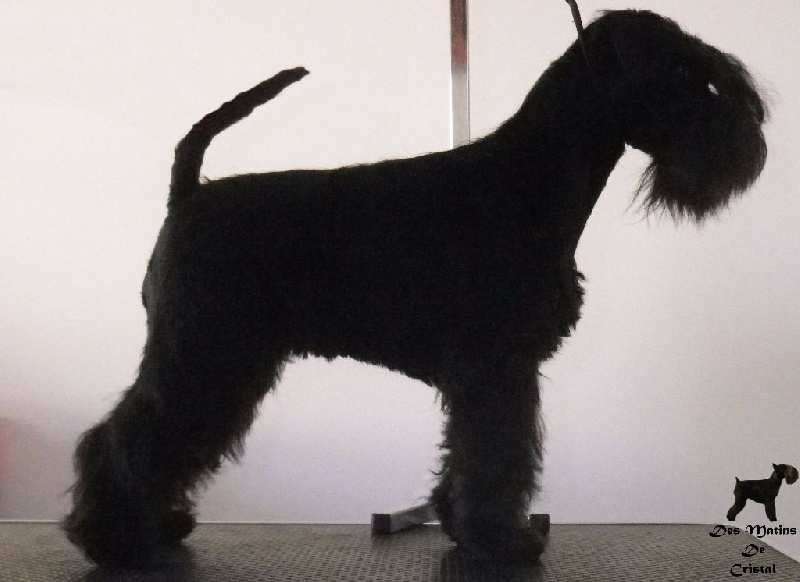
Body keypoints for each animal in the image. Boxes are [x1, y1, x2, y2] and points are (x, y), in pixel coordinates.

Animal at [64, 9, 767, 569]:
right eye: (689, 73)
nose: (751, 144)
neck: (530, 176)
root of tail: (188, 194)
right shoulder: (497, 369)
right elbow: (498, 456)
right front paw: (504, 542)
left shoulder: (486, 375)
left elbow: (473, 453)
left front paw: (462, 525)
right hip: (204, 354)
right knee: (126, 438)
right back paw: (114, 537)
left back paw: (157, 525)